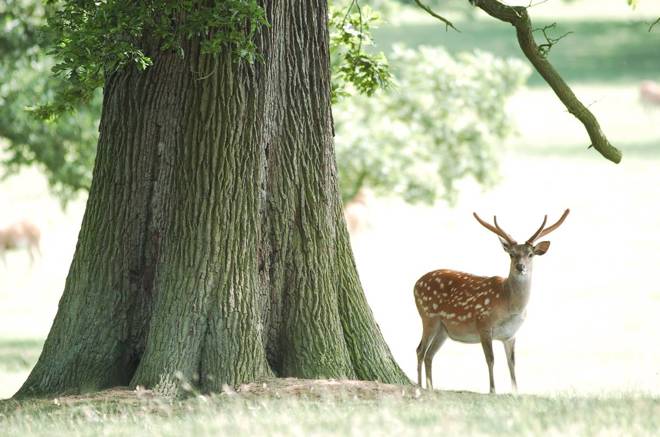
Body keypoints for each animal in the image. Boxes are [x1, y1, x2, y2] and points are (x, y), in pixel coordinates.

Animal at [416, 209, 568, 394]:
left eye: (530, 254)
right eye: (511, 254)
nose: (520, 267)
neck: (510, 305)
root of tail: (415, 284)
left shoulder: (511, 334)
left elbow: (512, 363)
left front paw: (515, 391)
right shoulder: (484, 324)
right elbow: (490, 359)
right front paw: (492, 390)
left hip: (443, 329)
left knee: (429, 354)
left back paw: (430, 387)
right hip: (428, 316)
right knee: (420, 350)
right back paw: (419, 385)